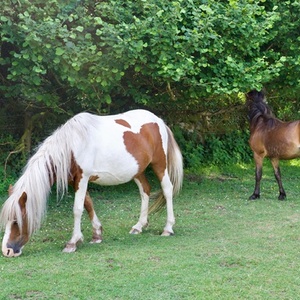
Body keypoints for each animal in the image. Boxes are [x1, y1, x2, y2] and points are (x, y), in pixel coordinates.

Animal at [0, 110, 183, 258]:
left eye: (16, 221)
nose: (7, 251)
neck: (71, 146)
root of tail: (159, 121)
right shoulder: (77, 181)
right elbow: (88, 204)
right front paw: (96, 234)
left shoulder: (82, 178)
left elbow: (77, 209)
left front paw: (72, 242)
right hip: (138, 171)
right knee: (145, 190)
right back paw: (139, 226)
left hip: (160, 164)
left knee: (167, 190)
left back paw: (168, 228)